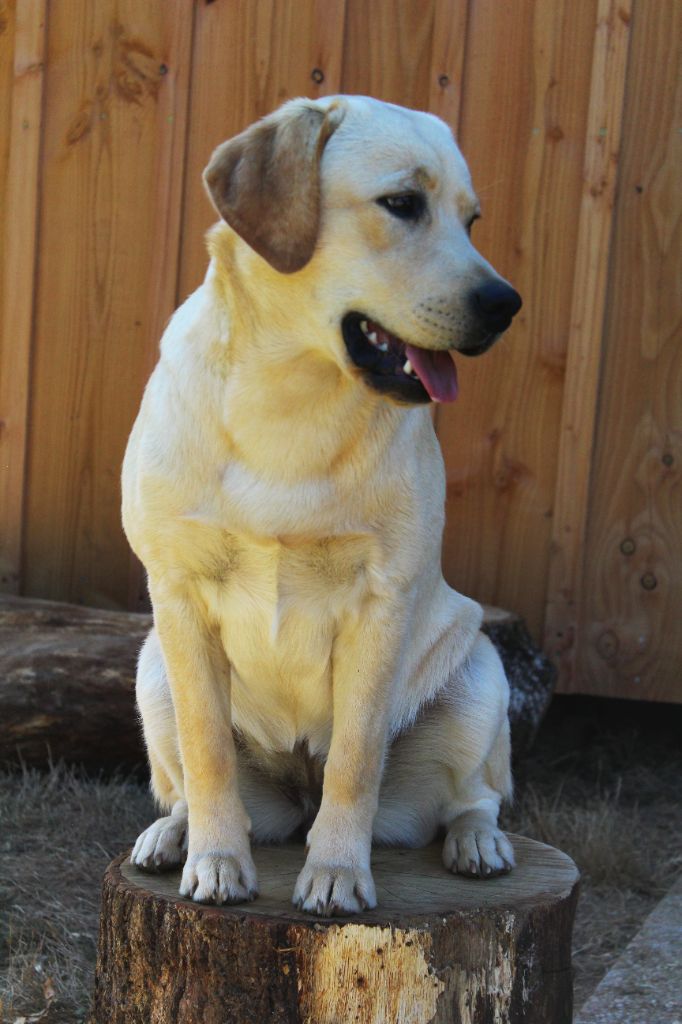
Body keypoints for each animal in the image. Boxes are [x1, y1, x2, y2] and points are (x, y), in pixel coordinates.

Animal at [122, 95, 522, 916]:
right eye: (402, 204)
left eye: (470, 220)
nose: (506, 304)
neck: (291, 394)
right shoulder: (176, 595)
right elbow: (209, 753)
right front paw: (217, 861)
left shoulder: (382, 601)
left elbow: (356, 756)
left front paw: (337, 871)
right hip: (151, 673)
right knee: (182, 782)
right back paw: (173, 836)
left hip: (480, 674)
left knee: (476, 796)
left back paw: (478, 844)